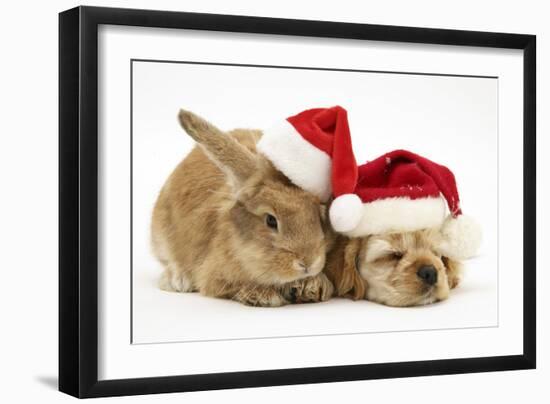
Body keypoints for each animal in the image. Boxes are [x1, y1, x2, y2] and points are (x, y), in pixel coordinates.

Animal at [149, 109, 334, 306]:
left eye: (319, 215)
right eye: (270, 220)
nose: (308, 263)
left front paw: (313, 287)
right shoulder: (214, 276)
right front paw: (265, 296)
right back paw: (178, 280)